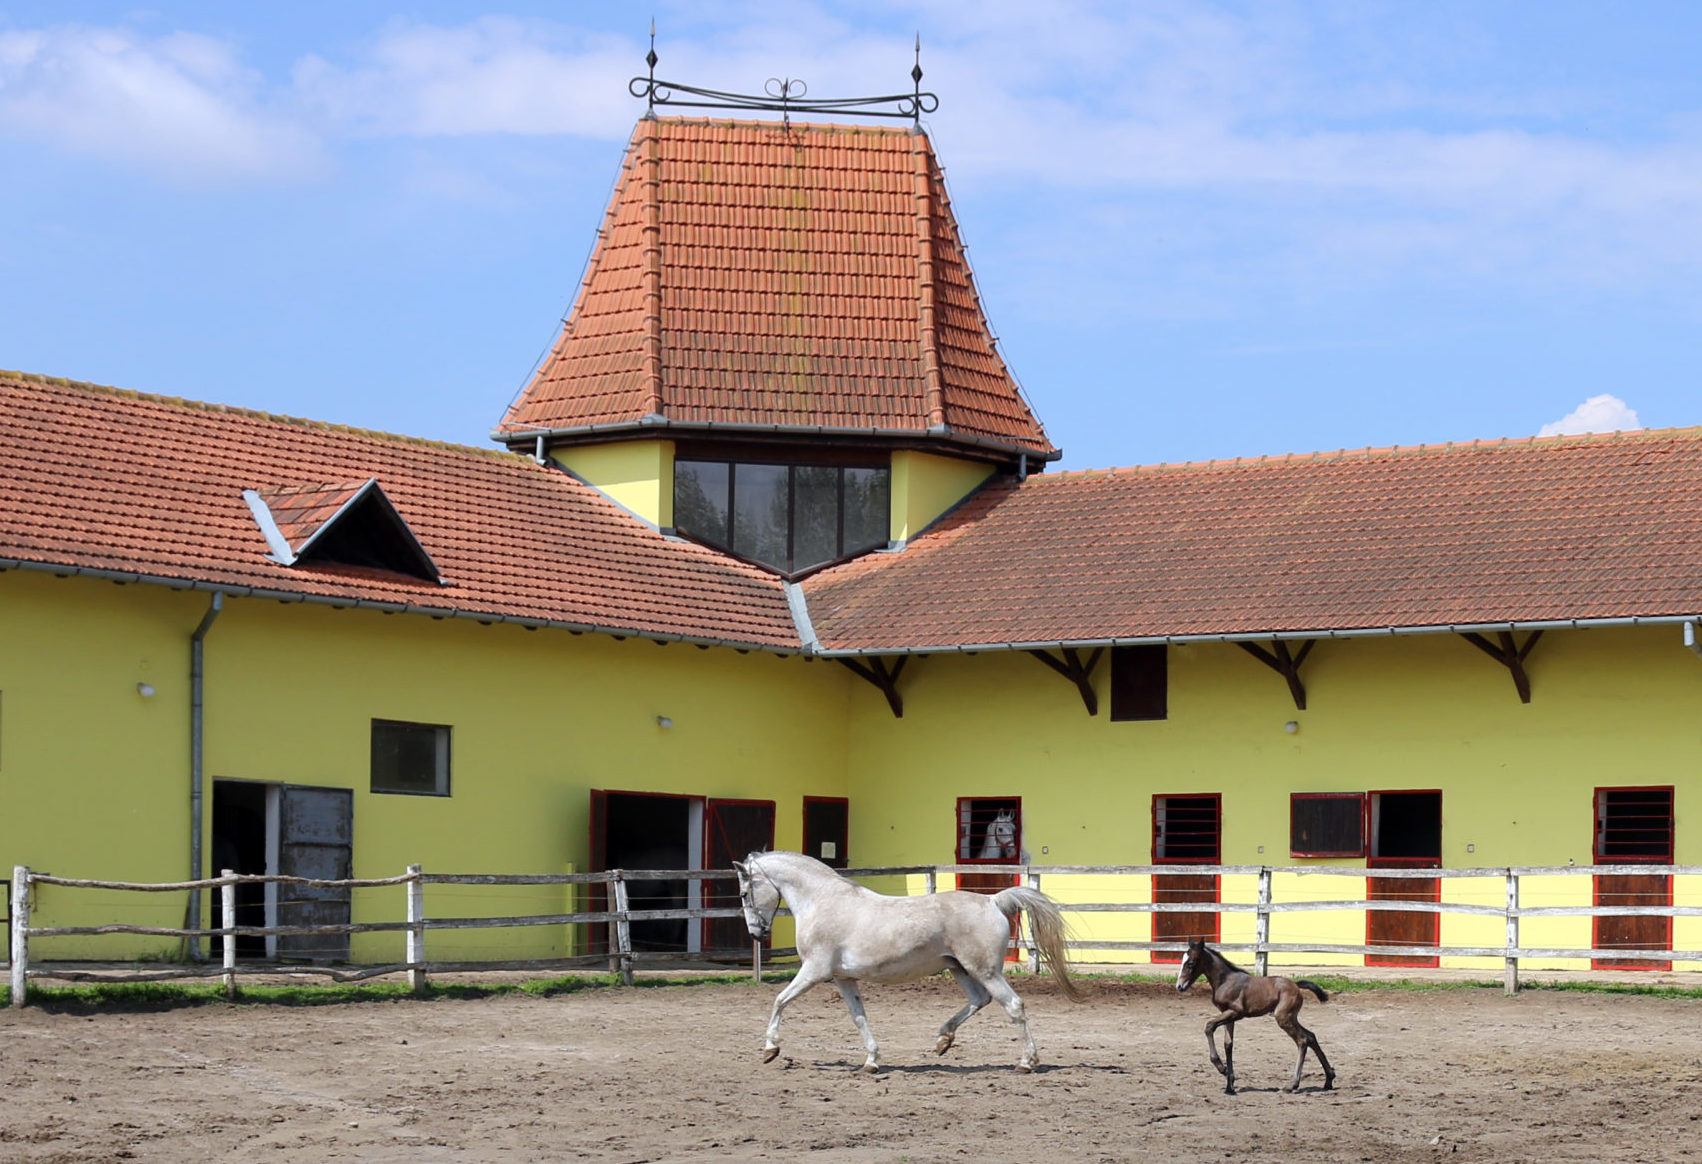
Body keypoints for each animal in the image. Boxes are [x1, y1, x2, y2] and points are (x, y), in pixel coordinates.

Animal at [728, 844, 1075, 1075]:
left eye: (744, 894)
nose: (756, 933)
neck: (823, 901)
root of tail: (993, 901)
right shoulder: (843, 977)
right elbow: (859, 1017)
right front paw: (871, 1061)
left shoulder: (814, 971)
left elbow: (779, 1000)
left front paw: (770, 1049)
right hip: (960, 969)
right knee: (980, 1000)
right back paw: (942, 1041)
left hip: (985, 970)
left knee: (1014, 1006)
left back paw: (1026, 1063)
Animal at [1177, 939, 1334, 1089]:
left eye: (1191, 963)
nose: (1179, 986)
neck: (1226, 981)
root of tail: (1296, 985)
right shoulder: (1228, 1015)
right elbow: (1228, 1044)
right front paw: (1229, 1084)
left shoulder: (1235, 1012)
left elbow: (1209, 1026)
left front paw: (1222, 1068)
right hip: (1291, 1018)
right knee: (1311, 1036)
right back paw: (1329, 1079)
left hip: (1283, 1018)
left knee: (1302, 1040)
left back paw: (1292, 1084)